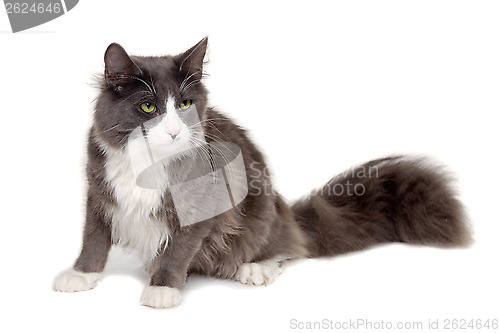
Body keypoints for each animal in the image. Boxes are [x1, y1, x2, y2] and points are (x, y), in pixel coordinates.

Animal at [52, 37, 470, 308]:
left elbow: (178, 250)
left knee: (288, 247)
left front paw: (163, 289)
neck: (149, 163)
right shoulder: (100, 191)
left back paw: (255, 268)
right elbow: (93, 239)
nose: (173, 131)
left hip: (261, 214)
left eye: (185, 104)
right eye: (147, 107)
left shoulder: (201, 206)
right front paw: (81, 275)